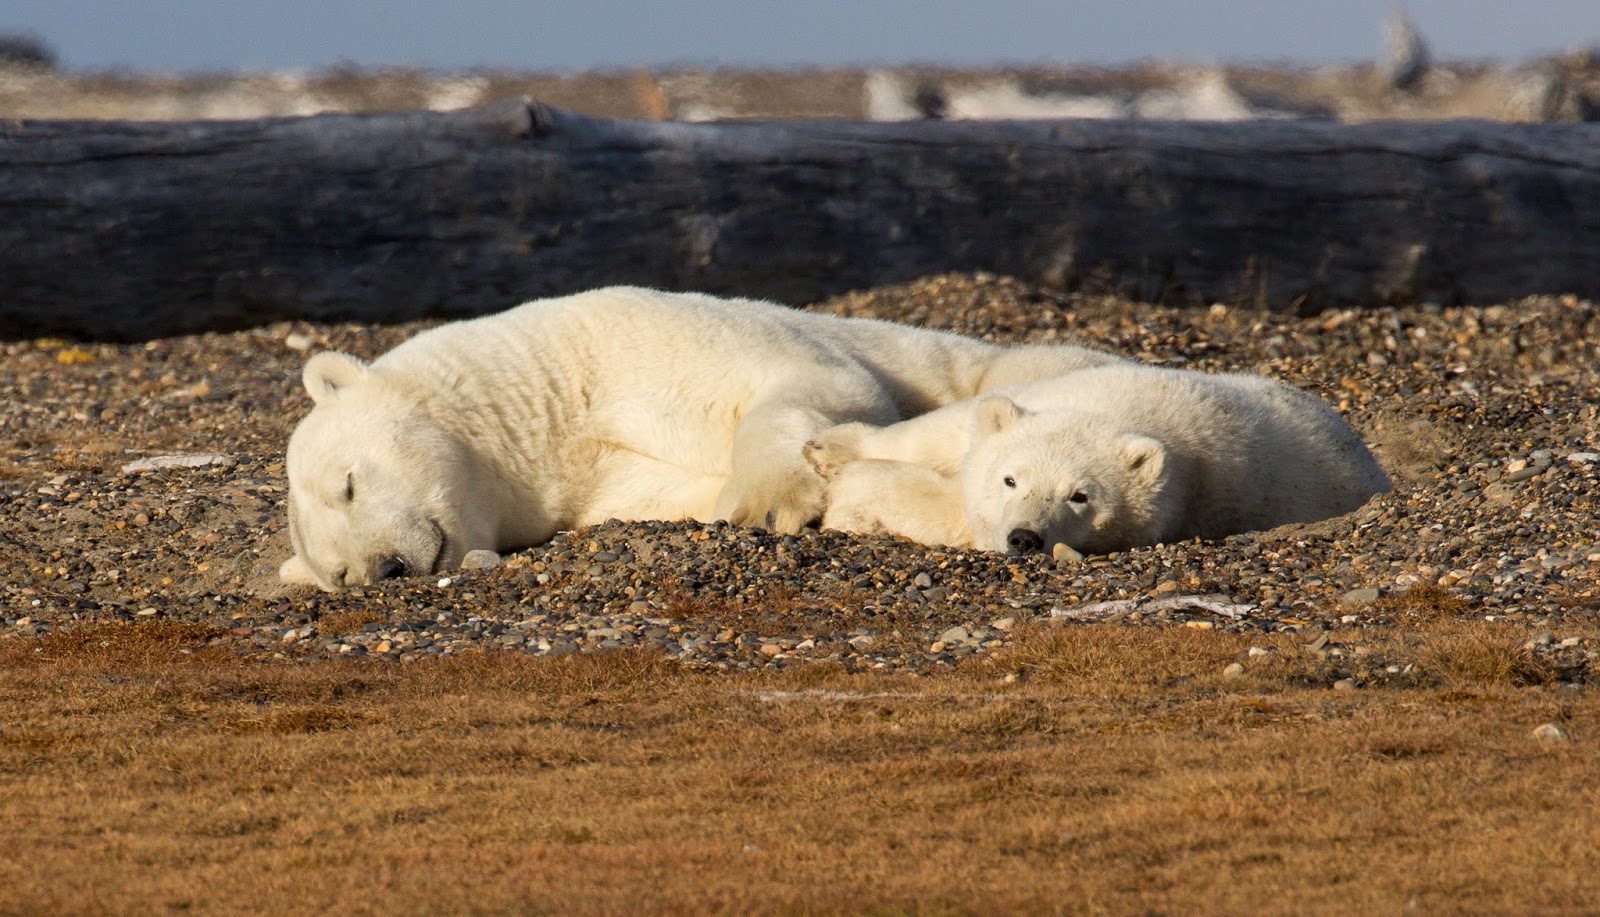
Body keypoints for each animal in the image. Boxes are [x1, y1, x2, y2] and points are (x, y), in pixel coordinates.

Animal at [279, 286, 1123, 589]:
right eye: (336, 573)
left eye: (347, 483)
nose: (385, 568)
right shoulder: (596, 483)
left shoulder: (624, 334)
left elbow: (806, 383)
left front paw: (772, 500)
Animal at [803, 363, 1391, 556]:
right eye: (1010, 479)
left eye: (1079, 496)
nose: (1024, 538)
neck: (1113, 410)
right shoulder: (1053, 391)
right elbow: (935, 431)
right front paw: (826, 449)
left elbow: (948, 509)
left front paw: (851, 498)